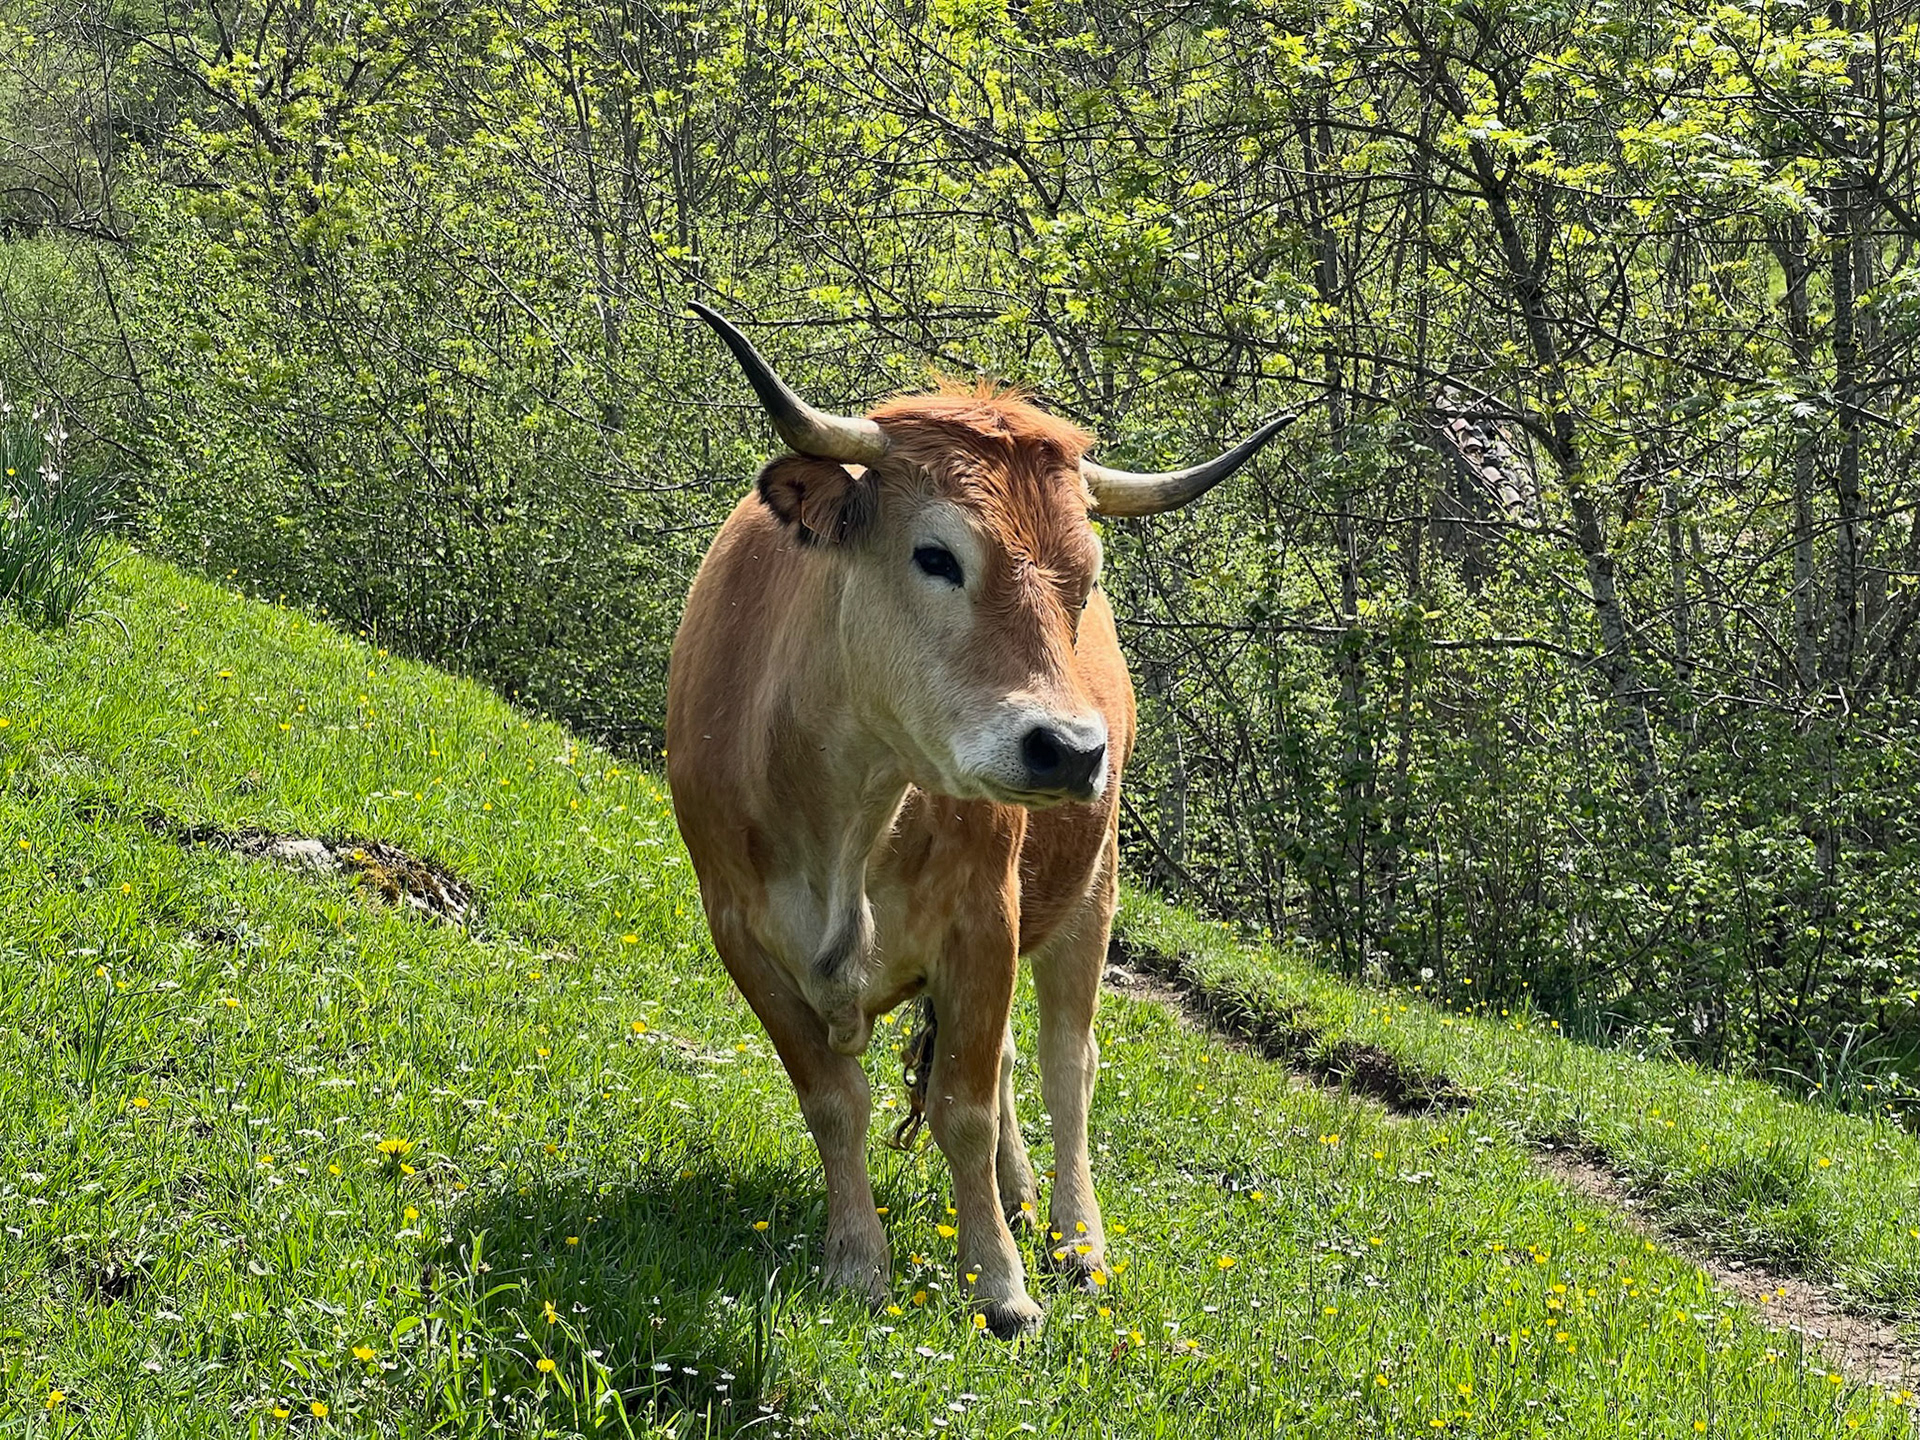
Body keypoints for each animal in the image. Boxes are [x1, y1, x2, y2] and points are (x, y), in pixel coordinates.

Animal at [666, 302, 1292, 1337]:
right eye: (936, 555)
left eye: (1085, 579)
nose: (1071, 751)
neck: (851, 809)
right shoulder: (739, 931)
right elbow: (832, 1098)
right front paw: (857, 1260)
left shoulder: (982, 920)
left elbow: (962, 1100)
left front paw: (1000, 1284)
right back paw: (1020, 1194)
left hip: (1092, 891)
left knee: (1064, 1064)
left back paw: (1075, 1240)